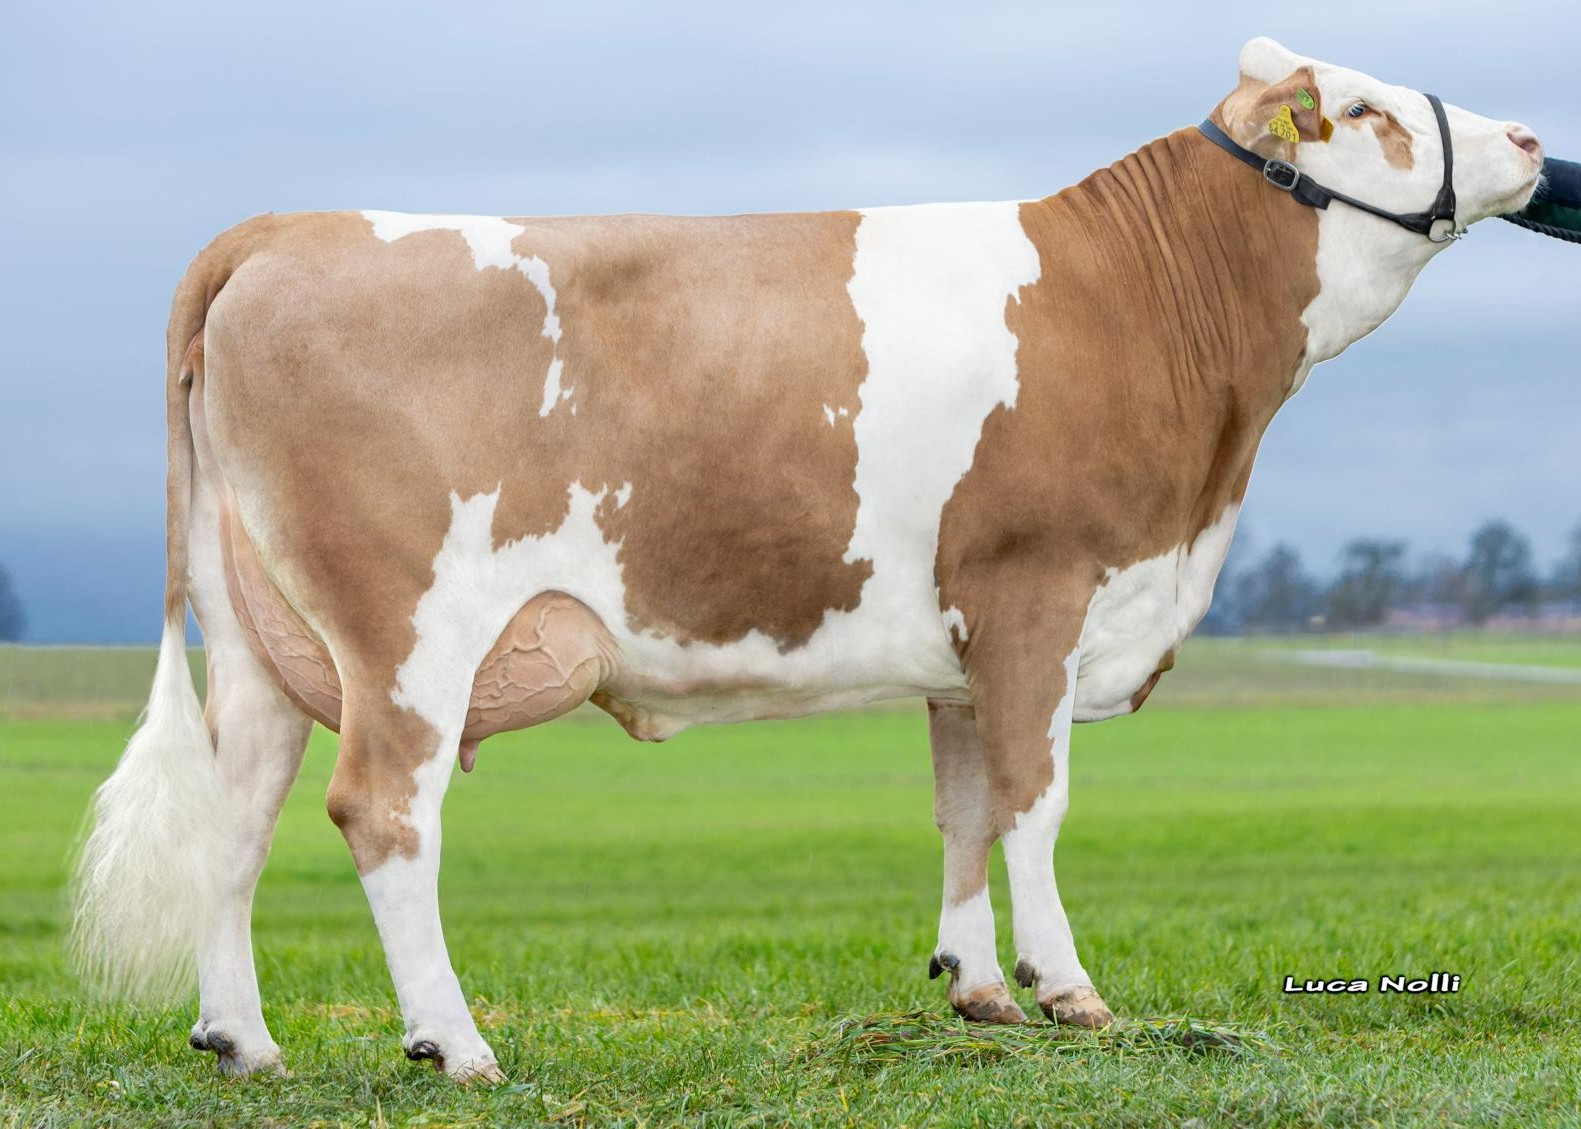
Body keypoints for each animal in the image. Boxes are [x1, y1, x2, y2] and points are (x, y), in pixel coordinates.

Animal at [71, 37, 1543, 1082]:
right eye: (1365, 109)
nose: (1531, 138)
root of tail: (289, 226)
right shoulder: (1037, 587)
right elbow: (1035, 800)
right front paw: (1070, 990)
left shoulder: (963, 642)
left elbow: (963, 807)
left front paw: (980, 987)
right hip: (407, 631)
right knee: (380, 809)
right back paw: (457, 1043)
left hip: (259, 633)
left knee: (238, 811)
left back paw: (243, 1040)